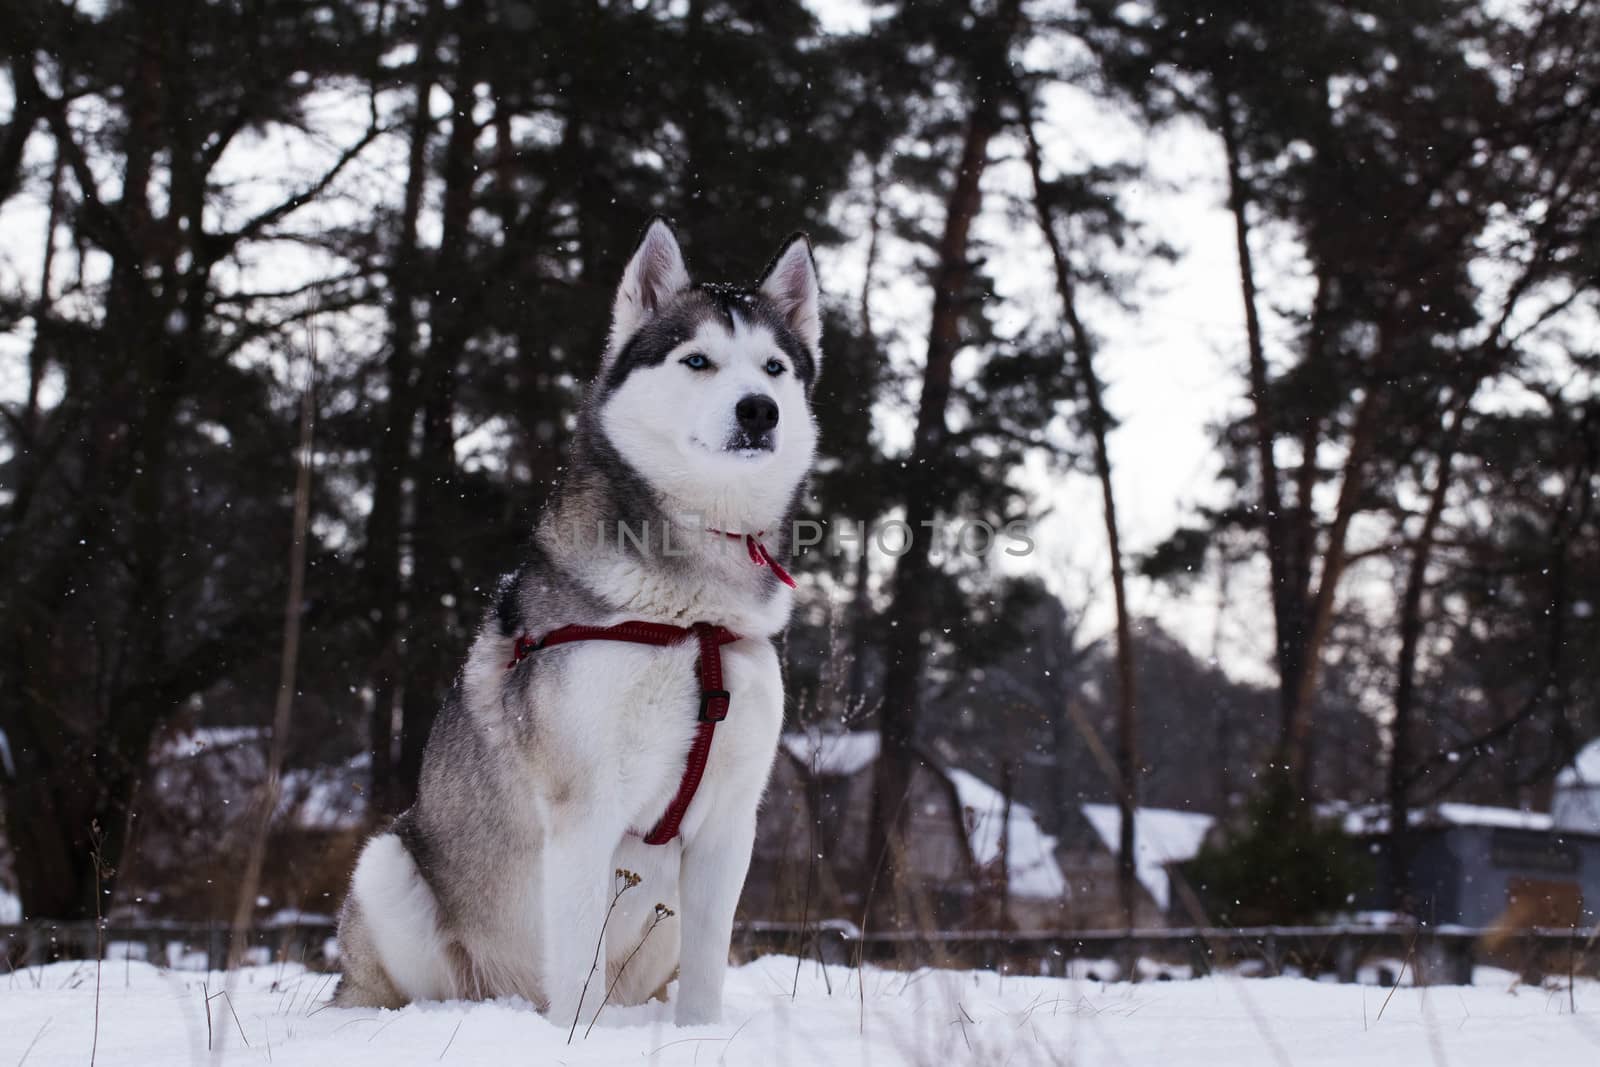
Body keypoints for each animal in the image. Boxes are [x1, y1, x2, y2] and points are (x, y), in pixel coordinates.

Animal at [331, 220, 819, 1030]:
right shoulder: (584, 805)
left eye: (775, 367)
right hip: (388, 866)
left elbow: (709, 970)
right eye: (697, 359)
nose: (759, 409)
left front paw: (698, 1035)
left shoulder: (729, 819)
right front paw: (574, 1039)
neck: (691, 619)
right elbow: (578, 954)